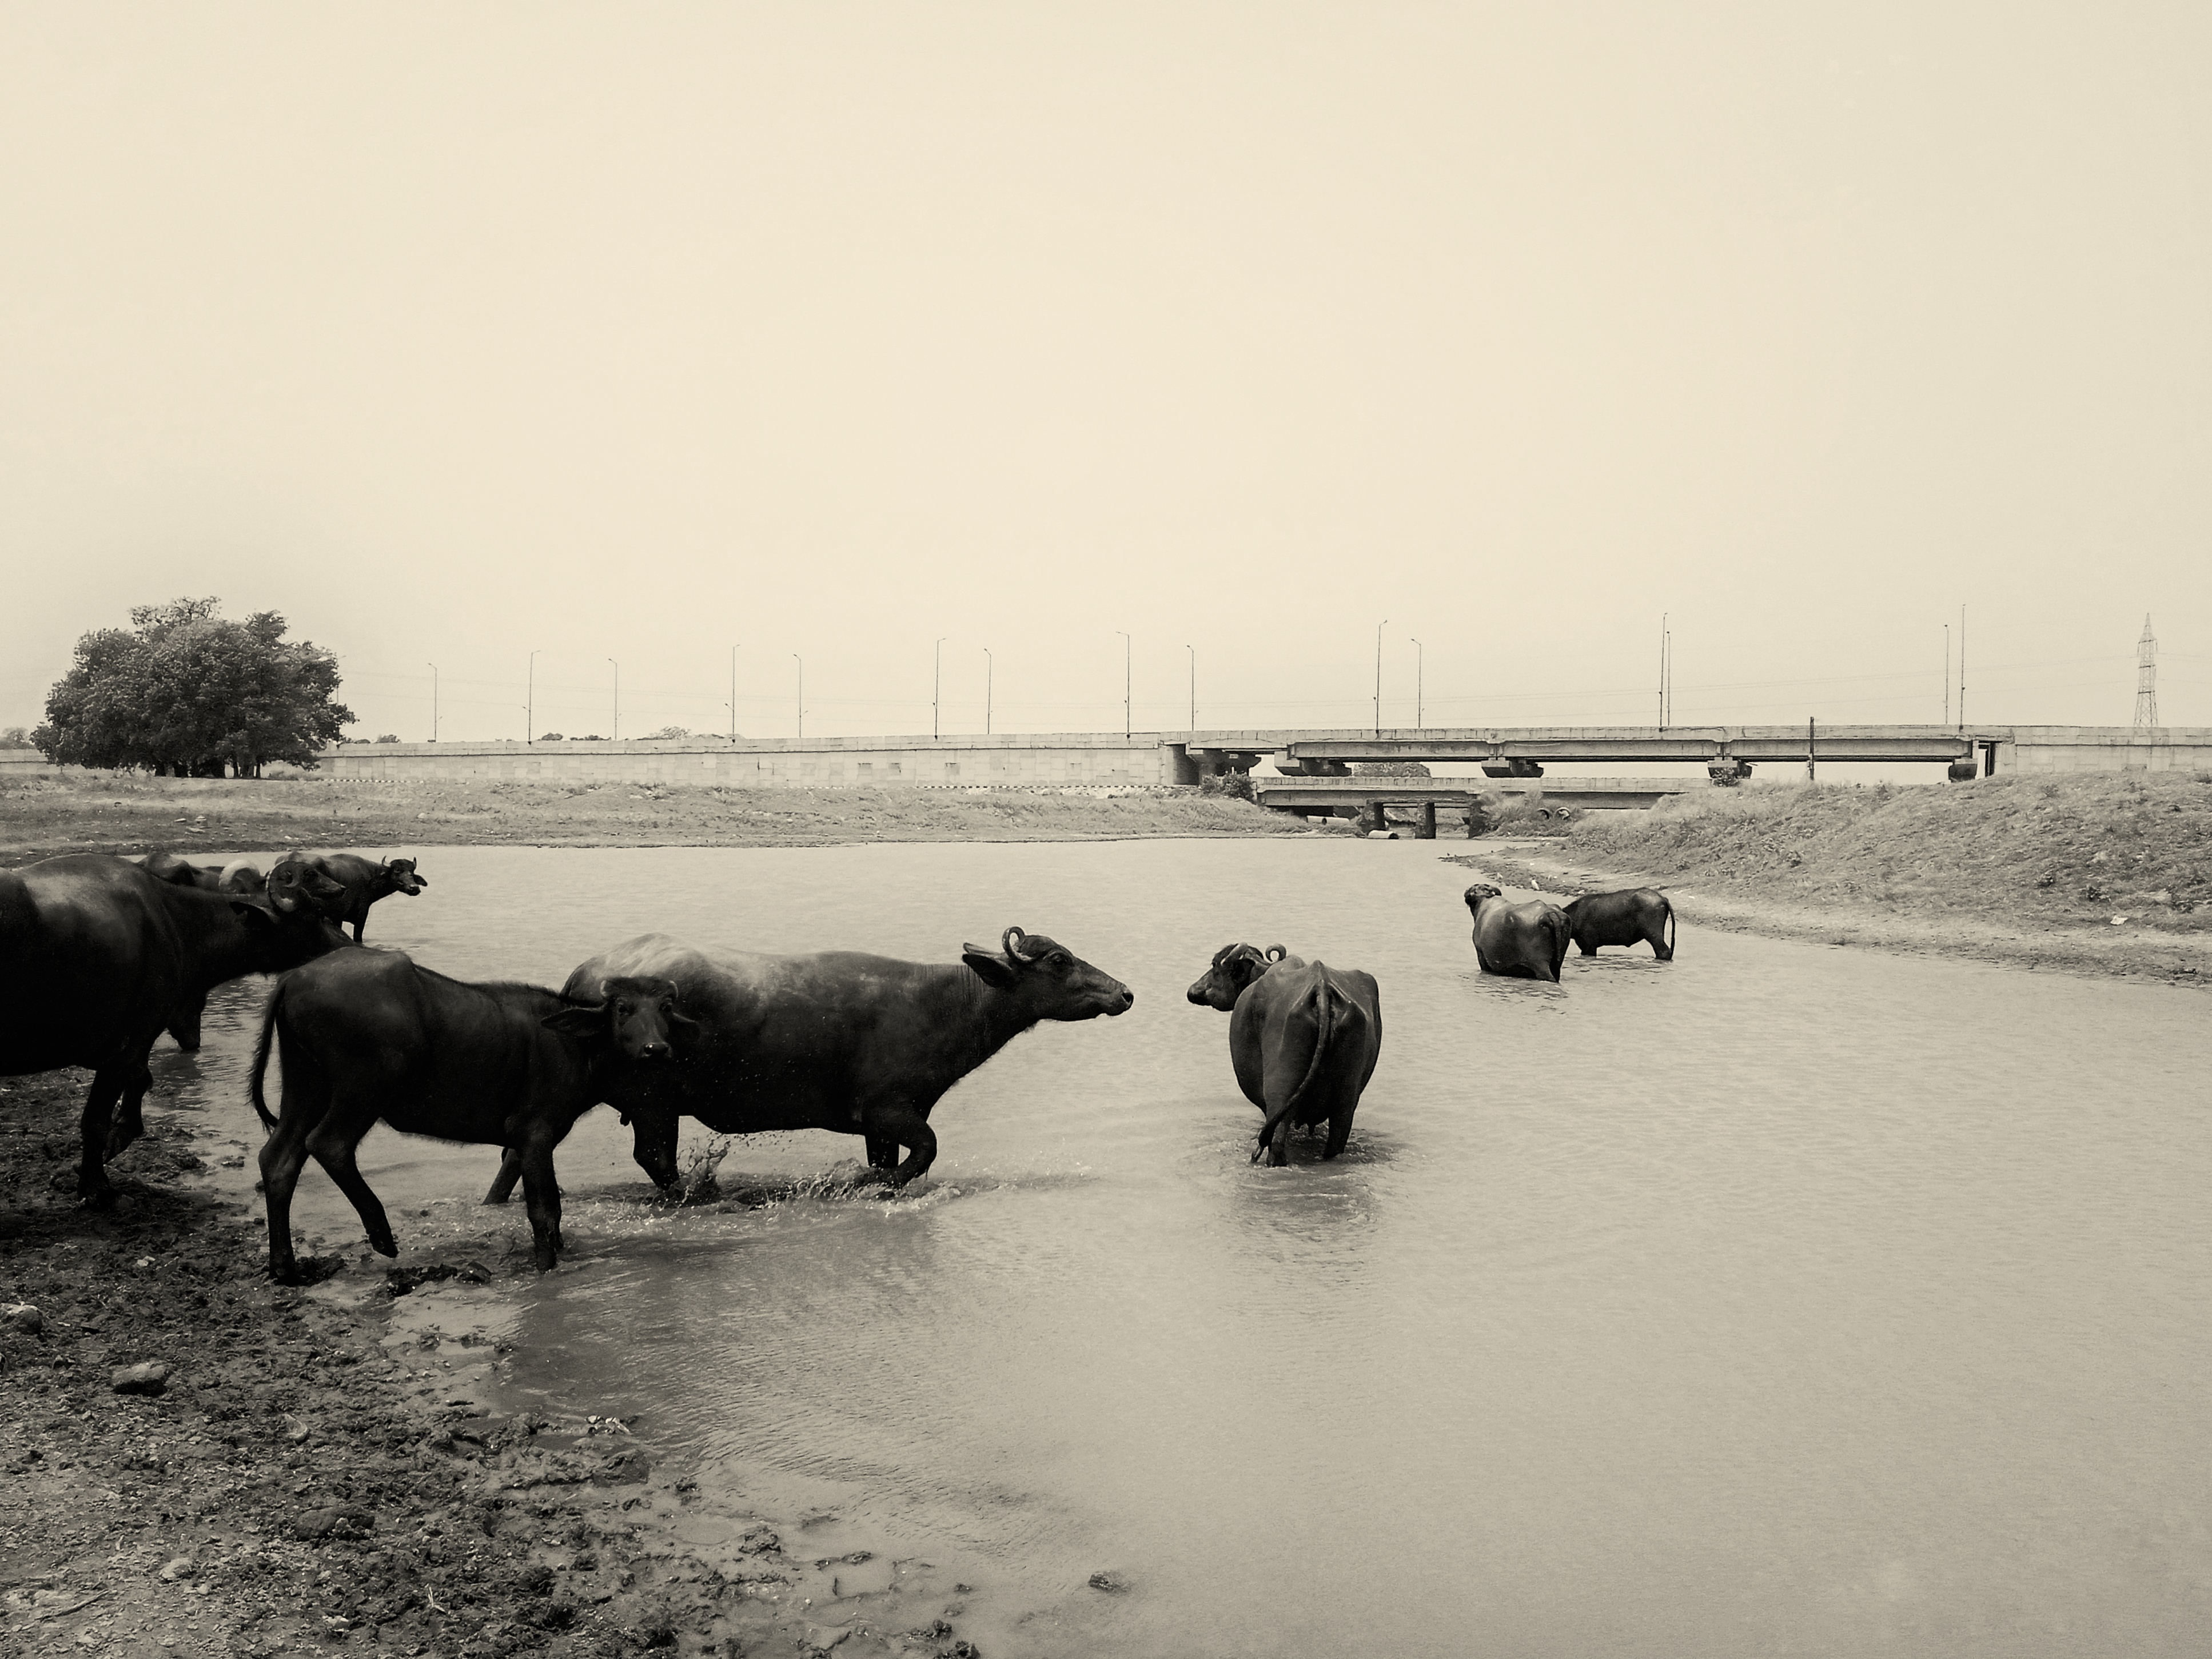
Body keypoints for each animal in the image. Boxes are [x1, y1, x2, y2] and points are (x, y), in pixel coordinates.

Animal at [1, 854, 352, 1204]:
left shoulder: (131, 1048)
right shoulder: (127, 1046)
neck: (177, 923)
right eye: (318, 915)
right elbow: (96, 1119)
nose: (347, 945)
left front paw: (121, 1135)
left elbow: (142, 1080)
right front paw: (97, 1186)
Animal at [248, 950, 690, 1279]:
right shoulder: (535, 1134)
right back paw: (382, 1236)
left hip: (305, 1085)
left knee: (279, 1158)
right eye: (622, 1008)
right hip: (364, 1087)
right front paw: (547, 1266)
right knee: (329, 1144)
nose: (655, 1049)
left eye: (666, 1008)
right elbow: (545, 1211)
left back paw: (284, 1266)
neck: (577, 1047)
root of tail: (293, 978)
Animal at [487, 924, 1134, 1198]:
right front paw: (871, 1184)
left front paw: (875, 1178)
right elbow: (924, 1152)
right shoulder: (890, 1109)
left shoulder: (883, 1125)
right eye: (1059, 960)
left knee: (519, 1154)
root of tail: (584, 978)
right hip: (654, 1100)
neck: (944, 1003)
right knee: (654, 1158)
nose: (1124, 993)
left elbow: (894, 1159)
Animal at [1187, 943, 1382, 1164]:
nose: (1192, 991)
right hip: (1346, 1099)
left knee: (1277, 1140)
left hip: (1280, 1090)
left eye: (1215, 967)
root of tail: (1322, 988)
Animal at [1462, 883, 1570, 982]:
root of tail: (1550, 914)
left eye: (1475, 886)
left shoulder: (1480, 954)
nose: (1467, 890)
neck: (1484, 901)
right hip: (1556, 963)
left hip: (1540, 963)